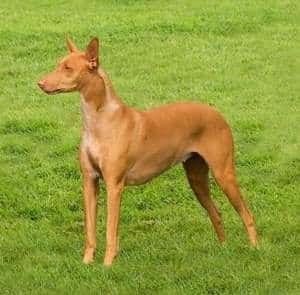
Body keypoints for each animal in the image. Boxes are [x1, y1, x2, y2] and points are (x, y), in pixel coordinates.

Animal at [37, 36, 258, 266]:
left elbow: (110, 231)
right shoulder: (89, 181)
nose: (40, 83)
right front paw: (87, 263)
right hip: (196, 179)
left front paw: (107, 265)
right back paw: (223, 249)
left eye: (68, 68)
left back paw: (254, 249)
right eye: (59, 64)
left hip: (224, 174)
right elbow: (90, 230)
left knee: (247, 214)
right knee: (217, 213)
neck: (99, 120)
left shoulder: (114, 185)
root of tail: (217, 113)